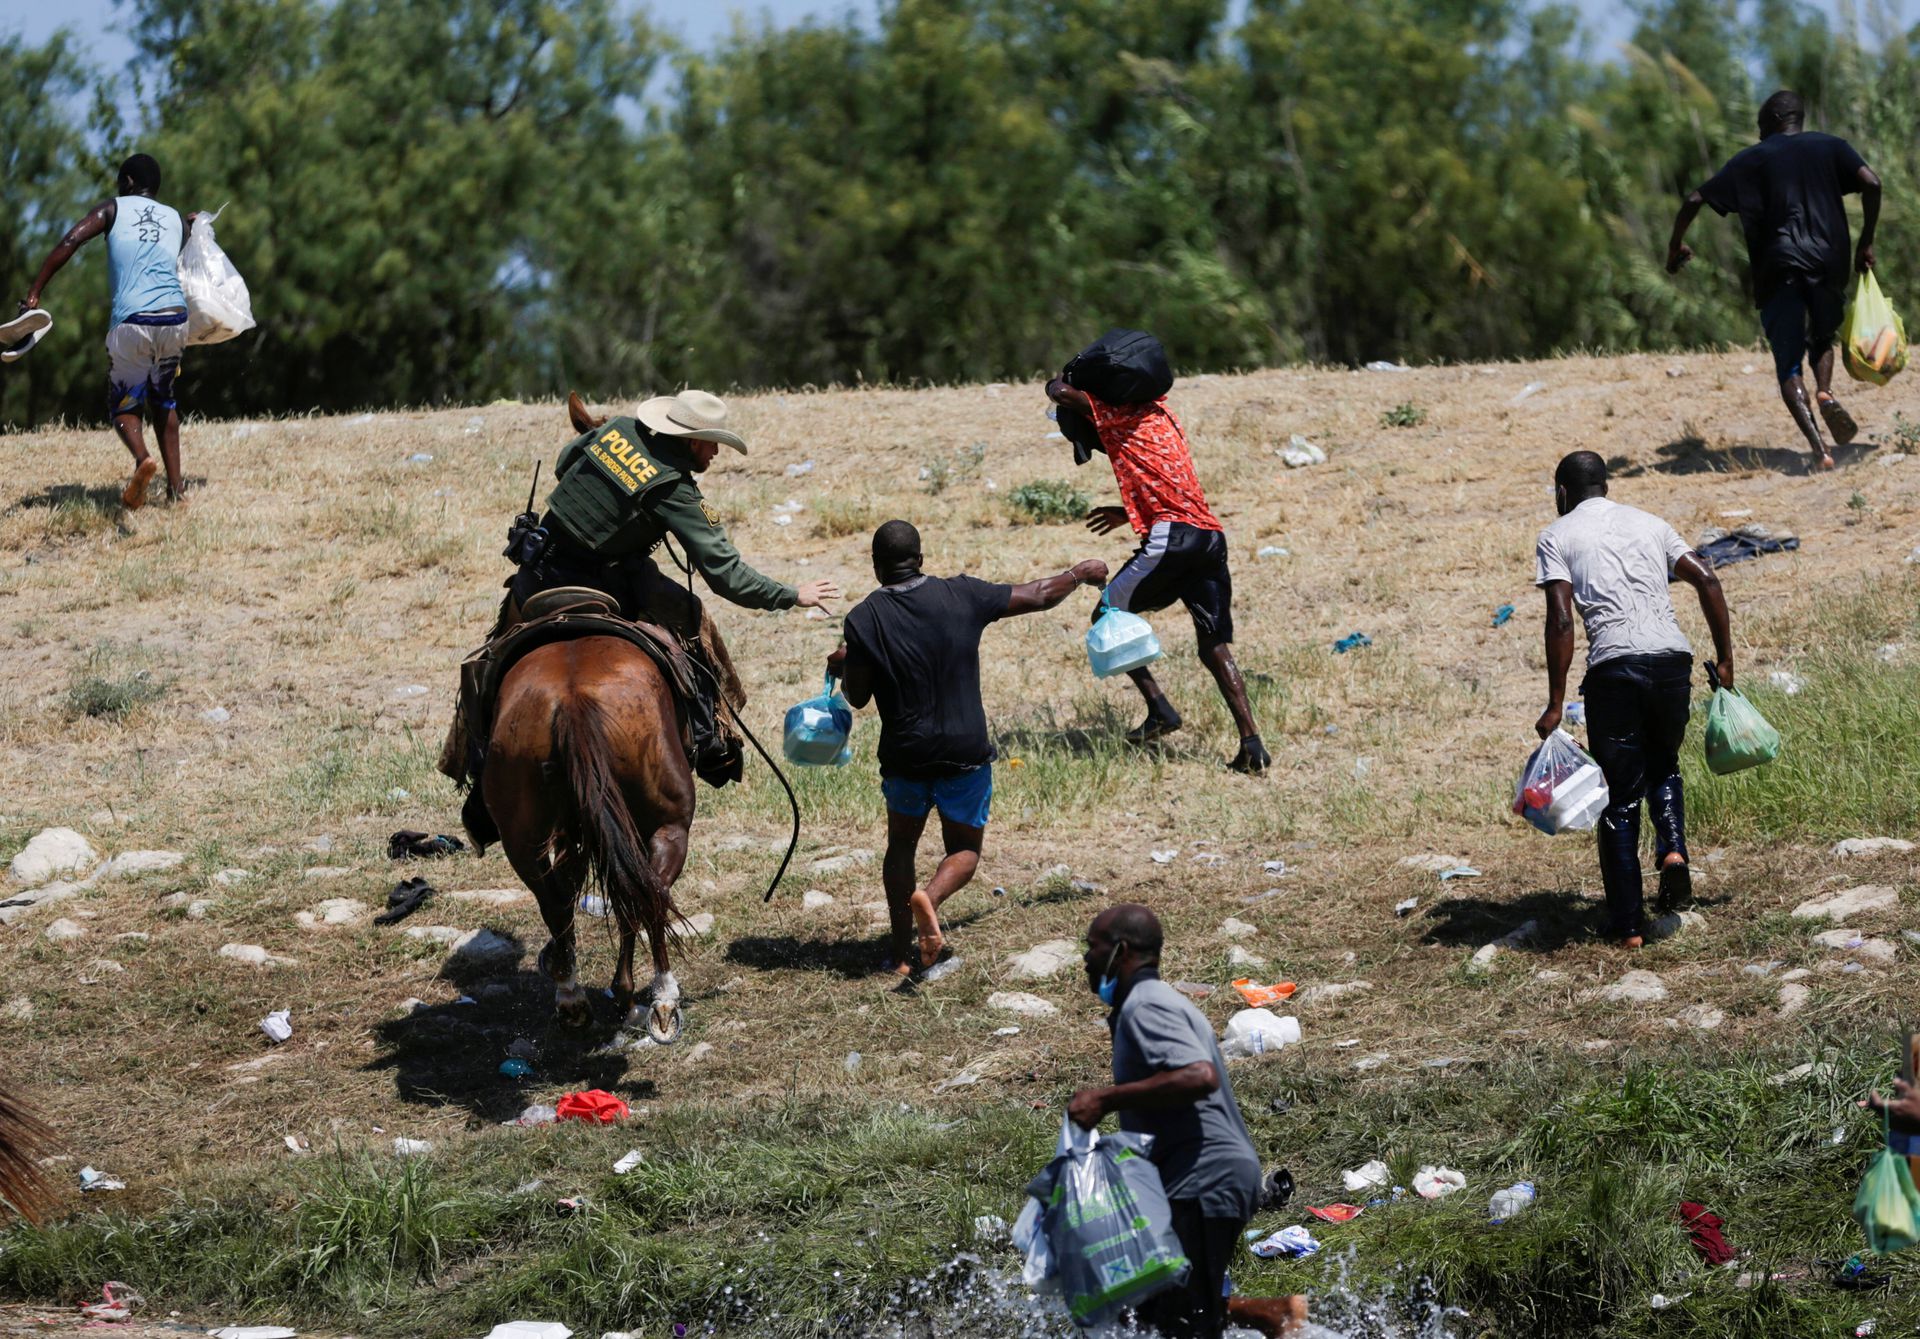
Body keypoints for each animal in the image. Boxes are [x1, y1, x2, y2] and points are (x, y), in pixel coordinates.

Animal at [487, 630, 698, 1037]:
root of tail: (573, 699)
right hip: (669, 826)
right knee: (649, 896)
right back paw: (659, 997)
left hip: (522, 839)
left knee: (560, 901)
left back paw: (574, 997)